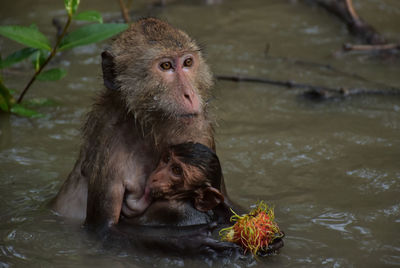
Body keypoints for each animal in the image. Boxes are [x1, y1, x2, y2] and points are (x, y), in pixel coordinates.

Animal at [53, 17, 230, 231]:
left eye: (188, 62)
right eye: (166, 66)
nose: (189, 94)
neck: (150, 128)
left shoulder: (202, 132)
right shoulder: (109, 149)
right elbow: (103, 228)